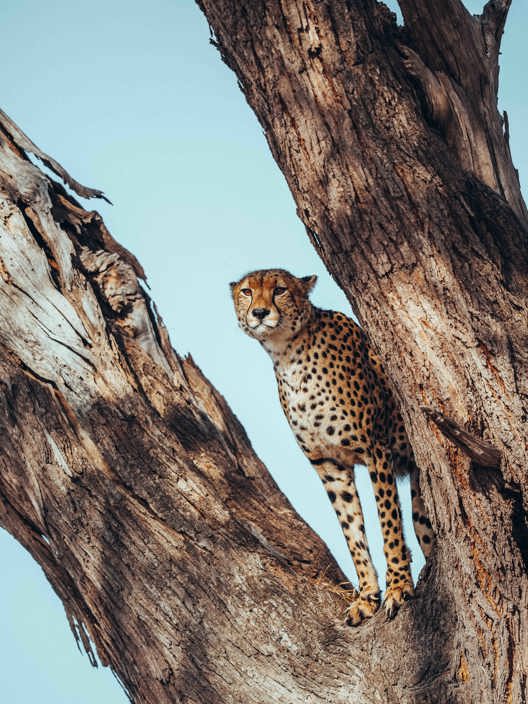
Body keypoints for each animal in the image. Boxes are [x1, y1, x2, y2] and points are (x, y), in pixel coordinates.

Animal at [230, 268, 434, 625]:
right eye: (246, 292)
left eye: (280, 289)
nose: (260, 313)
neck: (288, 354)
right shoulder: (329, 466)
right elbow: (352, 532)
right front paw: (367, 596)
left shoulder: (376, 450)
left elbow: (389, 525)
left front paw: (397, 587)